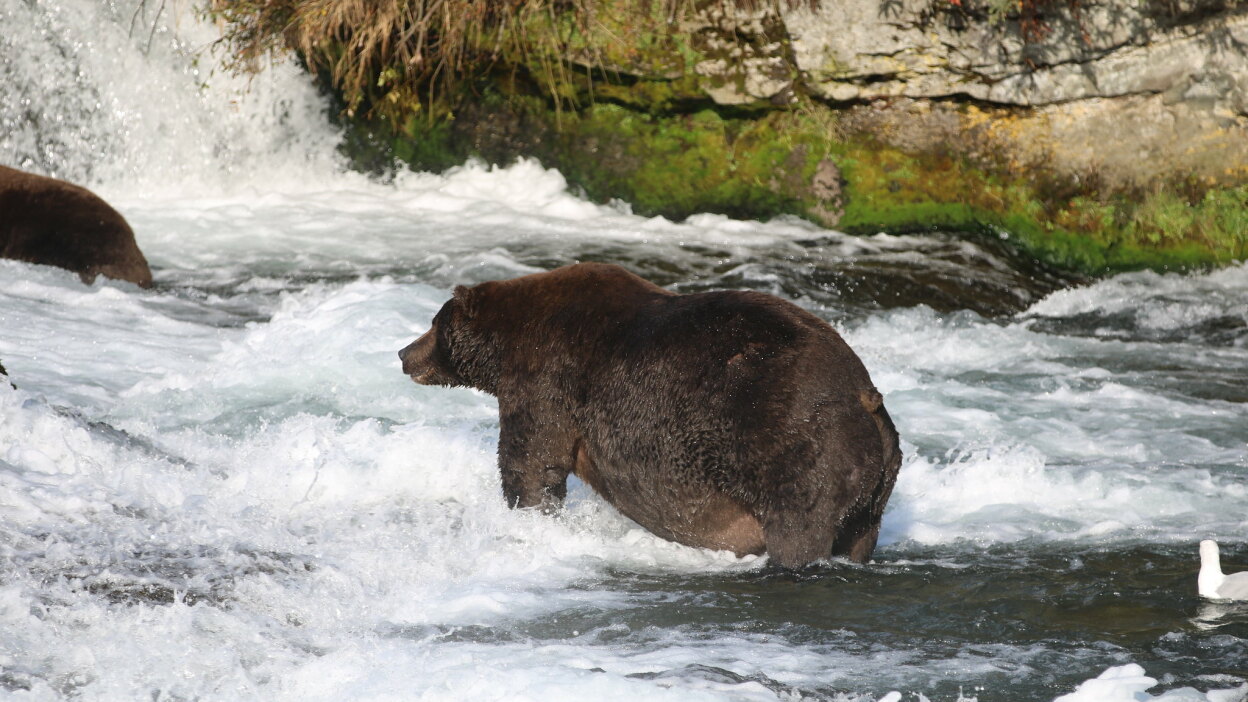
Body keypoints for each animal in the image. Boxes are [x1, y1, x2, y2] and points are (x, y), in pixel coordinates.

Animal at [398, 262, 902, 567]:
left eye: (434, 323)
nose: (404, 353)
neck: (505, 347)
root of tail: (865, 395)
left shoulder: (547, 377)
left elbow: (532, 461)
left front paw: (528, 516)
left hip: (794, 444)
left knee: (799, 527)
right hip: (874, 484)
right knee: (860, 533)